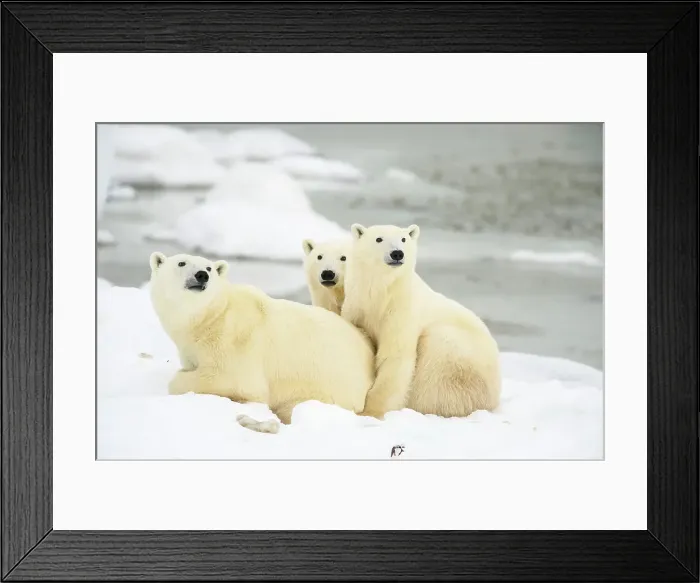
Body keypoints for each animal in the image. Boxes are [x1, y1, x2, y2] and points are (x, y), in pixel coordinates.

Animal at [148, 251, 375, 426]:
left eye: (209, 268)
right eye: (181, 262)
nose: (201, 275)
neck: (210, 318)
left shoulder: (232, 341)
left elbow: (230, 380)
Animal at [341, 224, 501, 420]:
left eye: (403, 239)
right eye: (379, 239)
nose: (397, 253)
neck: (382, 294)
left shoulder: (401, 312)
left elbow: (395, 357)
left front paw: (371, 412)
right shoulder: (357, 307)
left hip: (458, 359)